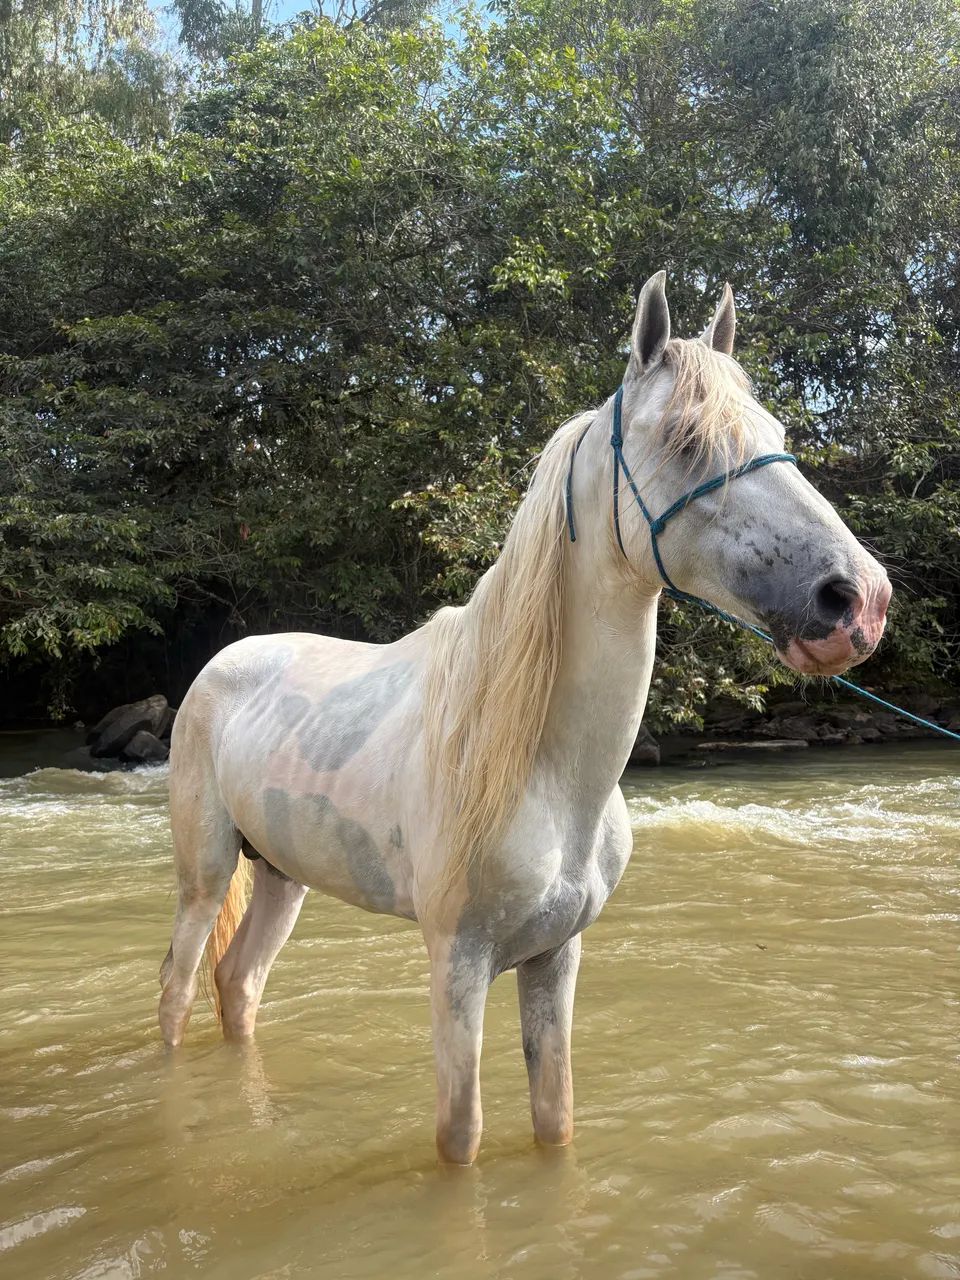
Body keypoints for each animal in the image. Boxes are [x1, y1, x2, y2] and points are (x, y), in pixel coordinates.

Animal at [159, 272, 891, 1164]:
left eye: (778, 432)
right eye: (686, 439)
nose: (857, 601)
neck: (545, 772)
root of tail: (221, 664)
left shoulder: (556, 956)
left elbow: (555, 1116)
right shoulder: (457, 964)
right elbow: (461, 1133)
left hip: (281, 876)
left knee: (240, 987)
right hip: (205, 875)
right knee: (179, 990)